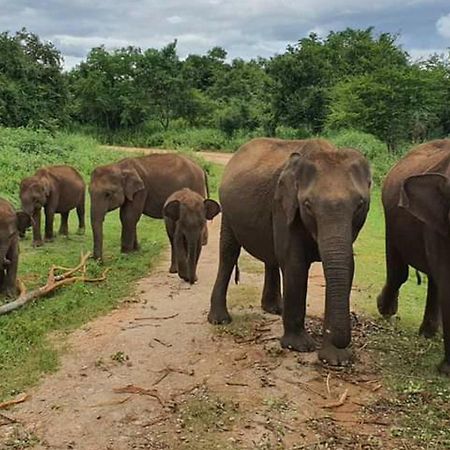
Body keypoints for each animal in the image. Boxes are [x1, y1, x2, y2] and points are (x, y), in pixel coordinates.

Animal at [207, 138, 370, 366]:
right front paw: (299, 347)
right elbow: (295, 265)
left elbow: (347, 267)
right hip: (229, 212)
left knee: (271, 258)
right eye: (307, 205)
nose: (338, 338)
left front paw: (337, 360)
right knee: (229, 253)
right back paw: (220, 320)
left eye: (360, 205)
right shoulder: (284, 207)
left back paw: (275, 309)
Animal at [376, 139, 450, 374]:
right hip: (391, 220)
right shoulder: (438, 223)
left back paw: (429, 333)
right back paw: (386, 310)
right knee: (399, 272)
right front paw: (446, 370)